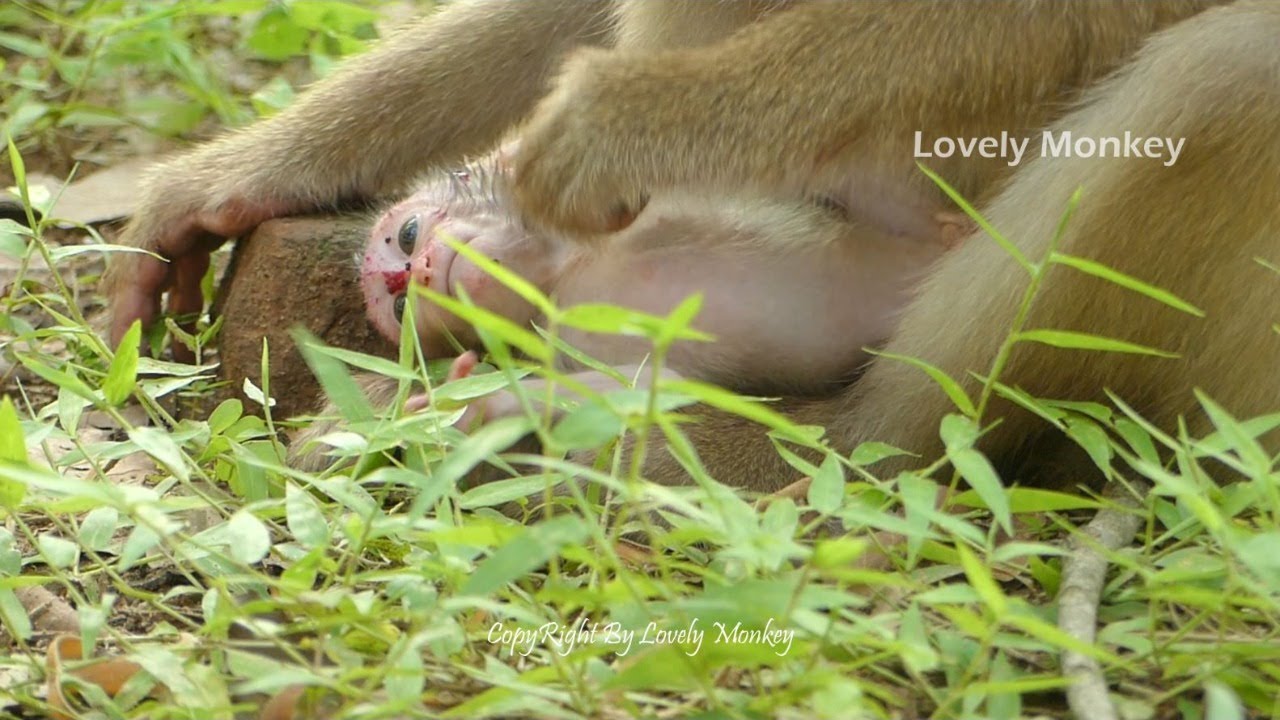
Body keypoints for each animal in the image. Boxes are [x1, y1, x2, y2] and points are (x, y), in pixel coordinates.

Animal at [106, 1, 1279, 495]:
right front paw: (233, 177)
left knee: (1232, 63)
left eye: (402, 235)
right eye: (399, 298)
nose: (401, 270)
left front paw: (619, 122)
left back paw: (851, 445)